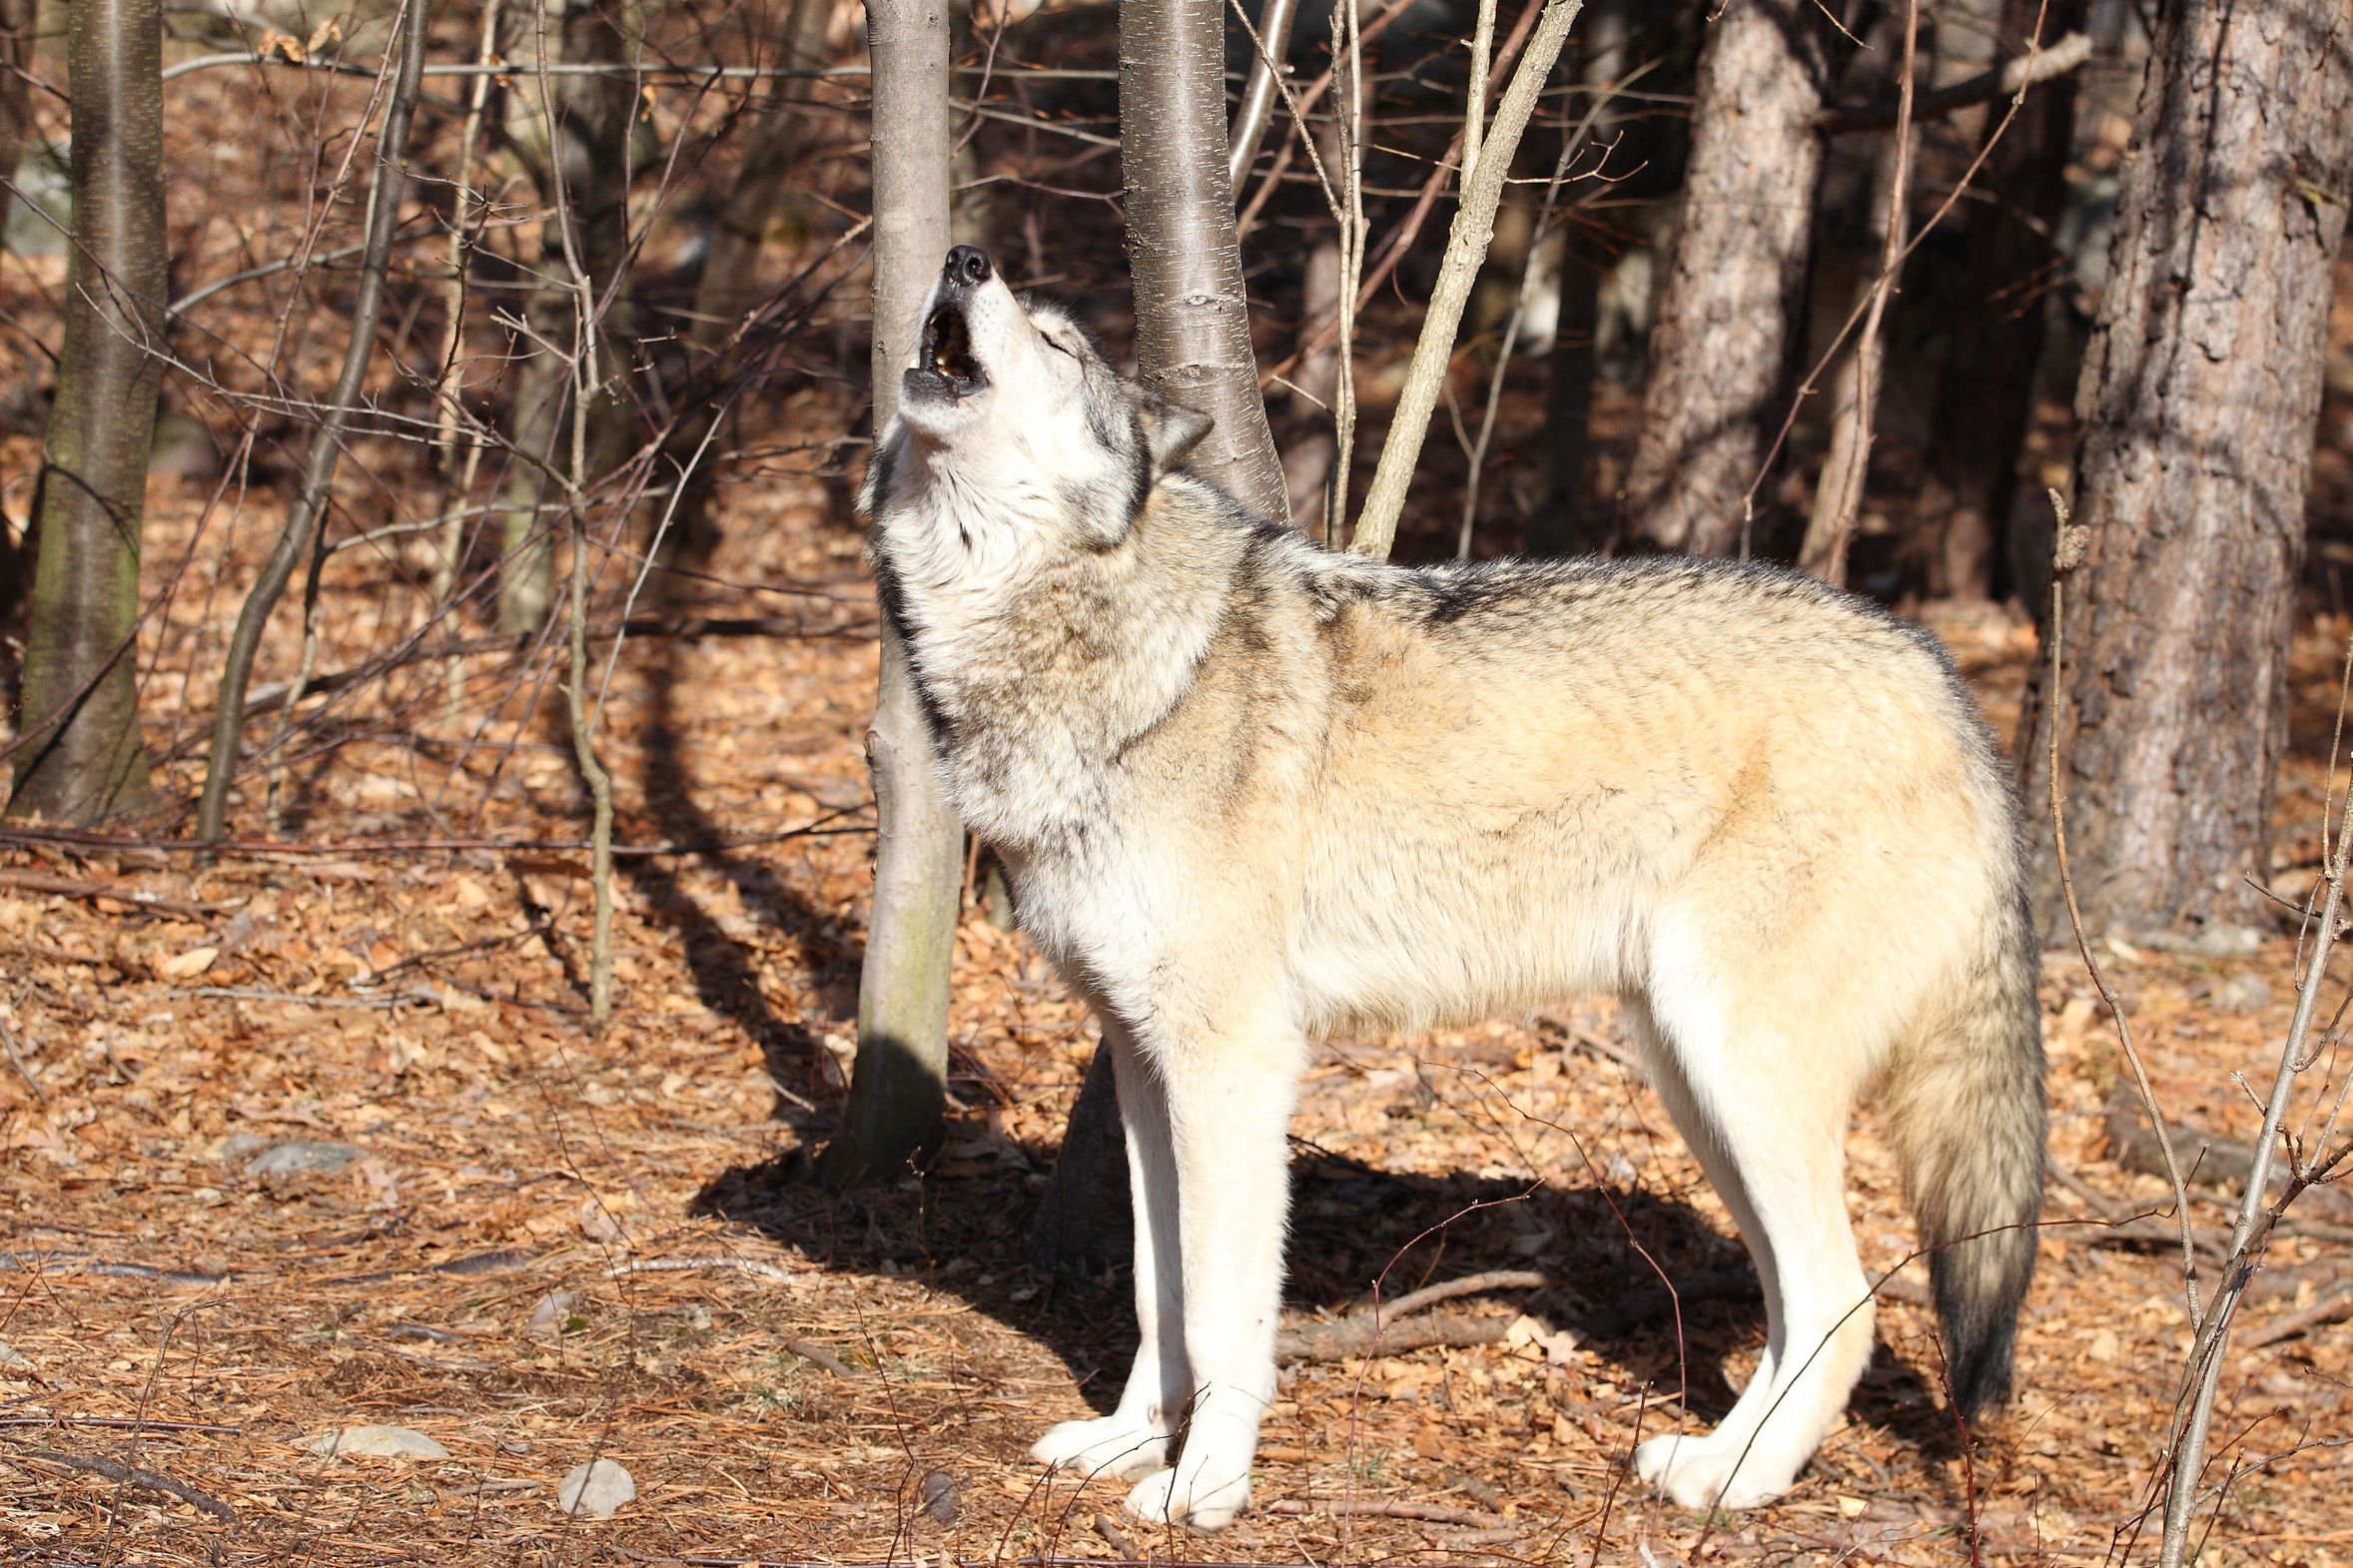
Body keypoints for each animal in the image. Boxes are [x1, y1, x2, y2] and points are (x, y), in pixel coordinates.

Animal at [860, 244, 2045, 1530]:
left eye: (1059, 341)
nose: (964, 258)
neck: (1104, 639)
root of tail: (1943, 682)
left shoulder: (1232, 1065)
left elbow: (1222, 1313)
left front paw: (1205, 1485)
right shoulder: (1140, 1059)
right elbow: (1154, 1291)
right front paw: (1130, 1439)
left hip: (1738, 1071)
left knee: (1849, 1305)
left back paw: (1732, 1488)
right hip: (1696, 1084)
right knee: (1794, 1307)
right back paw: (1712, 1462)